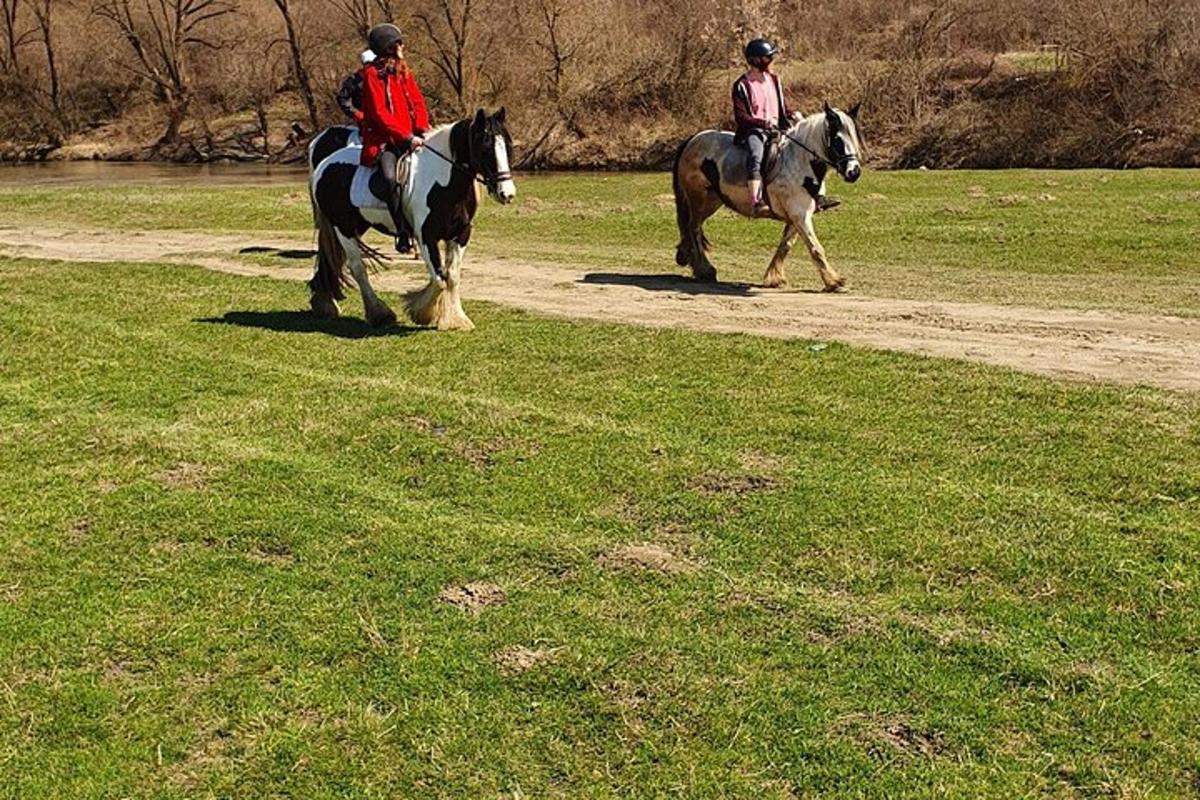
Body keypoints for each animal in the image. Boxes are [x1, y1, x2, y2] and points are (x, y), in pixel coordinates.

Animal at [307, 107, 513, 331]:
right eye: (485, 147)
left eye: (507, 146)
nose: (507, 194)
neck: (443, 181)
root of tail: (325, 163)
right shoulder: (426, 236)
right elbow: (439, 278)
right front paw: (422, 312)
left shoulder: (460, 234)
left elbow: (452, 276)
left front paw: (456, 319)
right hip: (342, 228)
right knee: (357, 267)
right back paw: (379, 314)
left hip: (356, 226)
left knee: (334, 260)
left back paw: (325, 303)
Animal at [676, 102, 864, 291]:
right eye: (837, 140)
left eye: (854, 137)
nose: (854, 172)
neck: (801, 162)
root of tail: (693, 140)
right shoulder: (800, 215)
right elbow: (815, 248)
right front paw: (834, 281)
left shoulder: (797, 217)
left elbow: (786, 245)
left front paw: (774, 277)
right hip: (698, 198)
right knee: (694, 228)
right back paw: (705, 270)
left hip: (712, 201)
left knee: (692, 227)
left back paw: (685, 256)